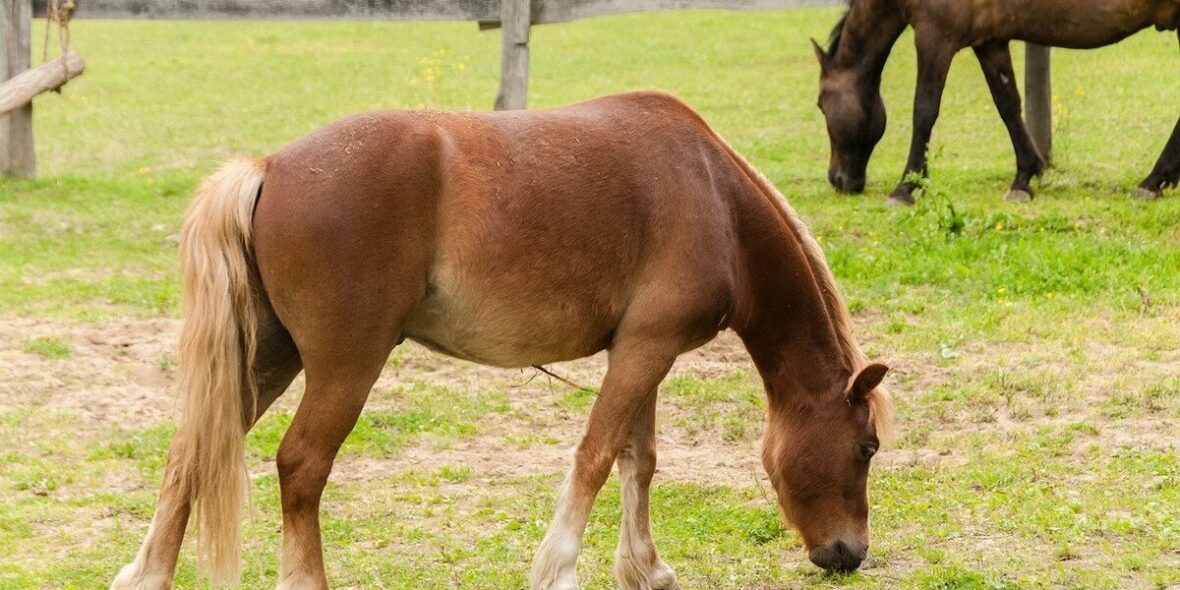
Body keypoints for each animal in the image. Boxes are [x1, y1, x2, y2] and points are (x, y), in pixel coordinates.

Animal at [108, 91, 893, 590]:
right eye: (866, 448)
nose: (848, 554)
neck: (714, 198)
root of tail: (268, 167)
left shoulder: (644, 352)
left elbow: (638, 461)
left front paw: (645, 569)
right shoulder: (645, 351)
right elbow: (596, 458)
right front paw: (560, 571)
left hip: (268, 358)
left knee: (191, 450)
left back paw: (146, 574)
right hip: (343, 367)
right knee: (300, 467)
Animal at [813, 0, 1180, 204]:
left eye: (820, 103)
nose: (837, 179)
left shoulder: (935, 37)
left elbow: (924, 112)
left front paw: (907, 187)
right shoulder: (990, 41)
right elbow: (1008, 105)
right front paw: (1024, 177)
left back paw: (1153, 181)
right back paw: (1156, 180)